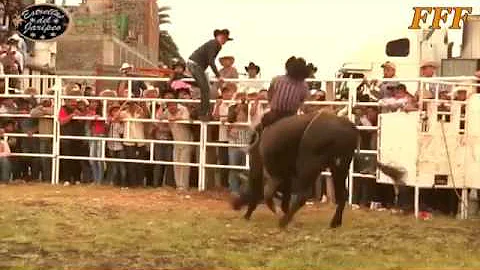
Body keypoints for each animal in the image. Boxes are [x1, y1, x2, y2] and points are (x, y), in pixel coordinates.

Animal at [232, 112, 404, 228]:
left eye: (242, 187)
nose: (234, 204)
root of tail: (349, 126)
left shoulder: (271, 175)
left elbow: (265, 194)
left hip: (309, 164)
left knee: (303, 195)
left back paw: (284, 221)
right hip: (339, 167)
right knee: (342, 194)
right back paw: (335, 222)